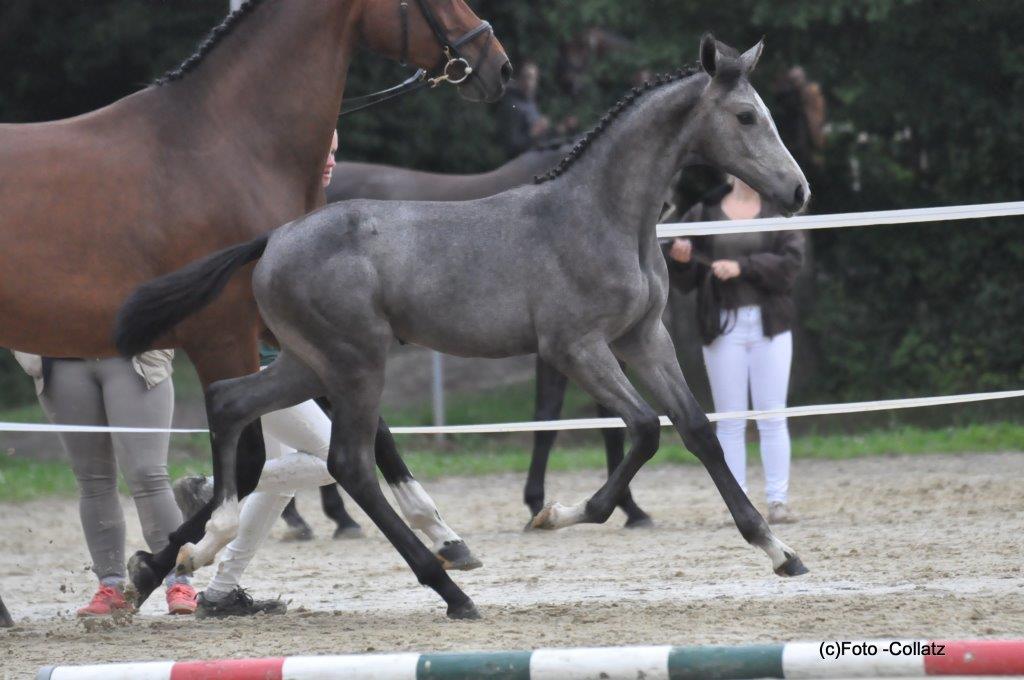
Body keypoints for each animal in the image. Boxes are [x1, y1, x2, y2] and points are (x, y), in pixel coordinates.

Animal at [0, 0, 512, 606]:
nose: (497, 65)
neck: (230, 147)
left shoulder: (298, 334)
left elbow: (372, 434)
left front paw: (443, 532)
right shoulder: (223, 333)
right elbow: (249, 459)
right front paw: (158, 564)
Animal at [116, 37, 811, 622]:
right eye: (745, 117)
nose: (799, 190)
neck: (602, 215)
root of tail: (274, 238)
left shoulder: (643, 339)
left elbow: (697, 429)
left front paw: (778, 551)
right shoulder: (576, 347)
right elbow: (642, 430)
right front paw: (556, 514)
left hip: (307, 362)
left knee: (231, 403)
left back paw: (198, 541)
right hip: (357, 362)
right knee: (350, 462)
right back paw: (450, 589)